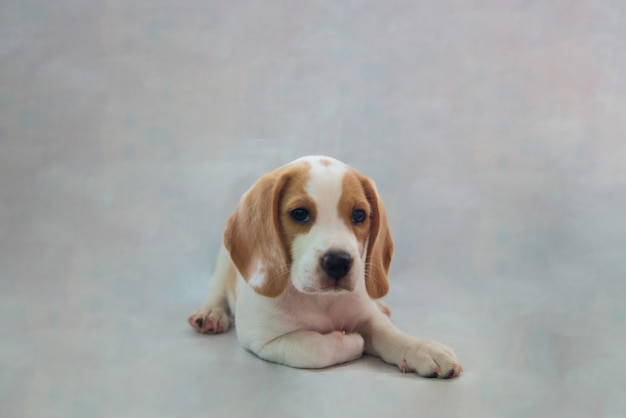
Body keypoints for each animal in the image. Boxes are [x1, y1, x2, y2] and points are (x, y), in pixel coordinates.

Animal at [188, 155, 460, 378]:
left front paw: (421, 348)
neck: (321, 300)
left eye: (359, 215)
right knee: (216, 290)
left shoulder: (365, 315)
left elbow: (389, 333)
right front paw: (351, 342)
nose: (339, 262)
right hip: (223, 262)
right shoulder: (264, 339)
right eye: (299, 213)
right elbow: (314, 348)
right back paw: (211, 313)